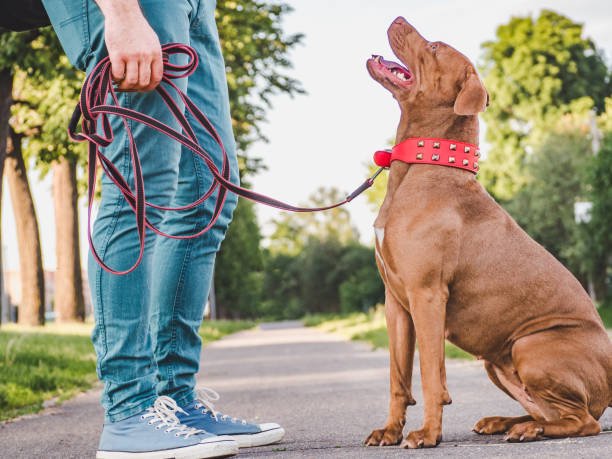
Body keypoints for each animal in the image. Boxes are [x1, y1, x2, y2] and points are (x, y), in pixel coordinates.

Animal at [366, 17, 608, 450]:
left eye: (434, 46)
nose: (397, 18)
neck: (422, 165)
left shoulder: (427, 295)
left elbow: (430, 374)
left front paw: (427, 434)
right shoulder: (396, 303)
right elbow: (398, 377)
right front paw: (390, 431)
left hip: (529, 344)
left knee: (583, 422)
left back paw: (526, 430)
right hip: (498, 362)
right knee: (551, 412)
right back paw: (507, 423)